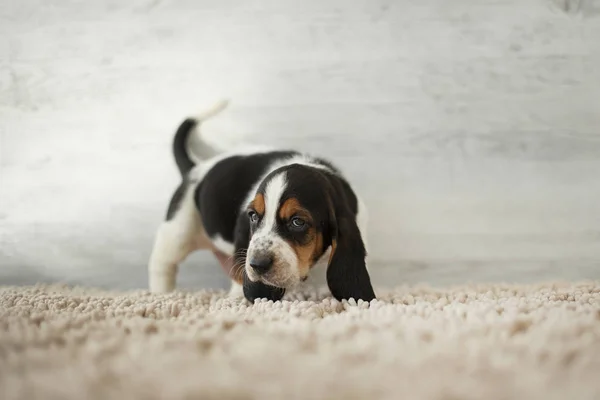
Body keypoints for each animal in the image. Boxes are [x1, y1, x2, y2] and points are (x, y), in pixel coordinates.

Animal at [149, 101, 376, 304]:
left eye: (297, 222)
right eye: (253, 216)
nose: (257, 265)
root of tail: (196, 168)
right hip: (178, 231)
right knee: (162, 264)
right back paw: (162, 293)